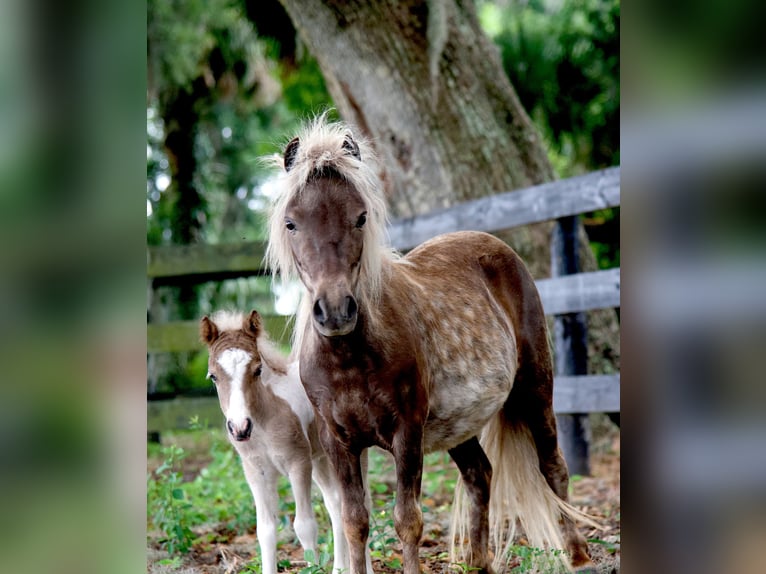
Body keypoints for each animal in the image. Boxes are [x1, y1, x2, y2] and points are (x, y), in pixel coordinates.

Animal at [201, 312, 376, 574]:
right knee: (336, 505)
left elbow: (304, 526)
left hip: (352, 453)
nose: (240, 428)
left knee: (361, 504)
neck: (265, 420)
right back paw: (338, 568)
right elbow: (265, 531)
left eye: (258, 370)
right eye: (213, 375)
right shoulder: (256, 472)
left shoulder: (298, 464)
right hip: (322, 460)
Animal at [268, 118, 600, 574]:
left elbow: (407, 519)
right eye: (291, 223)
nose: (335, 311)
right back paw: (479, 563)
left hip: (535, 389)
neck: (349, 360)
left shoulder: (407, 432)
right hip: (459, 423)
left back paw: (578, 554)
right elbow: (354, 521)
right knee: (480, 475)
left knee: (553, 466)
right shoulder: (339, 441)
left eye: (360, 217)